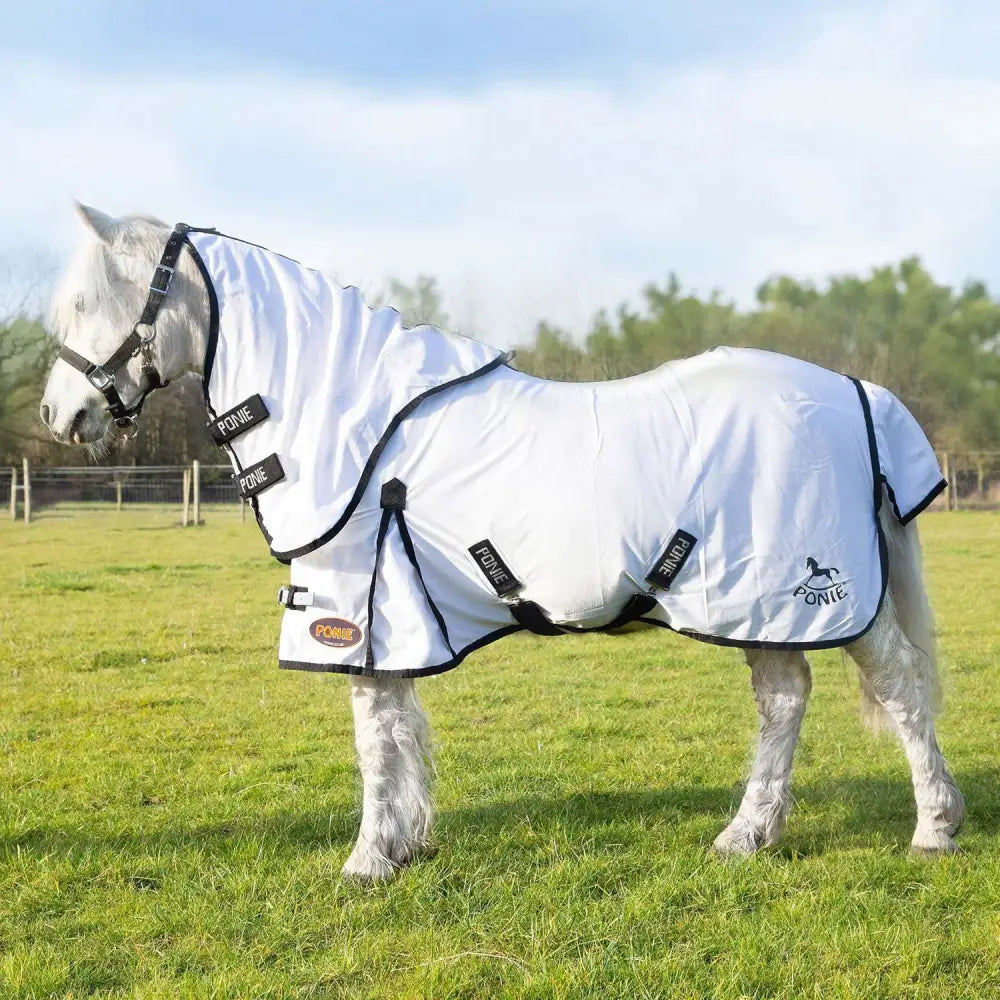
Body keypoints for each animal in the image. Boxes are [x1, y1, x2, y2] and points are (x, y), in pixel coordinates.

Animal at [39, 204, 965, 879]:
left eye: (85, 305)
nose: (57, 415)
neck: (359, 423)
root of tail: (856, 390)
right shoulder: (394, 615)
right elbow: (399, 728)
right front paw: (403, 844)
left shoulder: (358, 605)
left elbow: (373, 737)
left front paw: (366, 861)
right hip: (756, 603)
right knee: (784, 700)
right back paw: (747, 836)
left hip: (821, 599)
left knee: (900, 689)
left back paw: (934, 828)